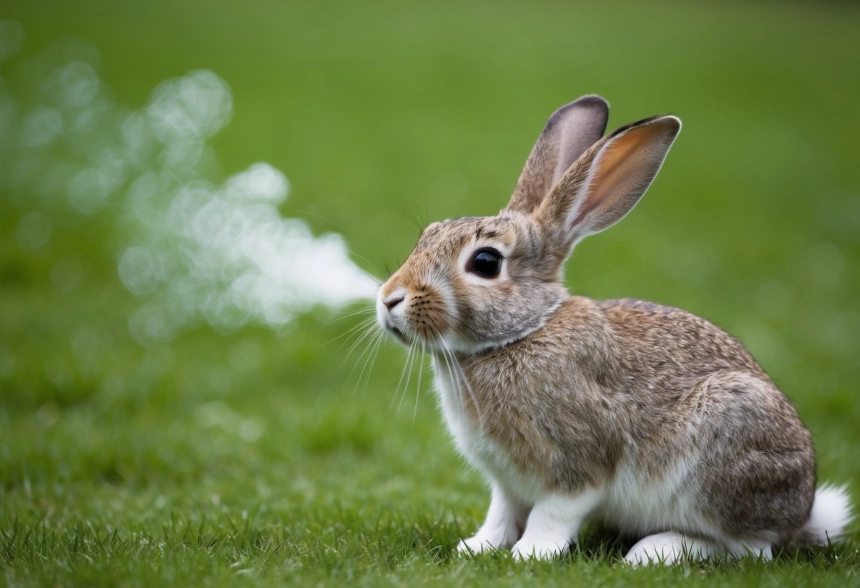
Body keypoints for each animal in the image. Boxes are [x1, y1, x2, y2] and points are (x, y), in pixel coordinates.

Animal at [374, 95, 852, 564]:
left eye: (486, 263)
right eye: (428, 234)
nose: (388, 299)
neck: (523, 332)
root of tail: (799, 514)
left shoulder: (577, 461)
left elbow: (553, 512)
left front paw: (530, 554)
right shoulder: (507, 482)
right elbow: (502, 512)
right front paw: (478, 547)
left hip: (724, 447)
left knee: (748, 549)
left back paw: (653, 551)